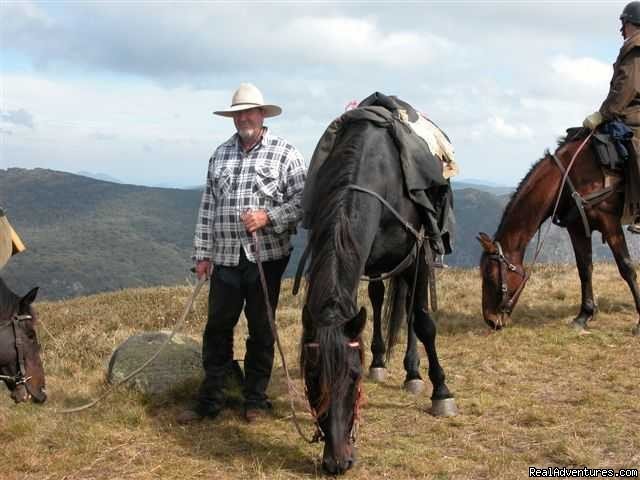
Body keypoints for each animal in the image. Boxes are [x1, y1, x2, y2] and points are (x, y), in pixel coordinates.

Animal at [300, 119, 456, 472]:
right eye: (311, 376)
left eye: (354, 377)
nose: (338, 462)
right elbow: (374, 300)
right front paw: (377, 358)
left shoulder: (418, 251)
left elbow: (424, 321)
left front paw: (441, 392)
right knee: (378, 296)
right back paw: (382, 360)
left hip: (412, 261)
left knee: (411, 309)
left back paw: (413, 372)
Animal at [478, 130, 640, 334]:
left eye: (491, 277)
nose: (490, 320)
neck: (566, 179)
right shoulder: (577, 228)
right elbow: (584, 269)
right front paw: (584, 315)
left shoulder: (609, 222)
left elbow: (626, 267)